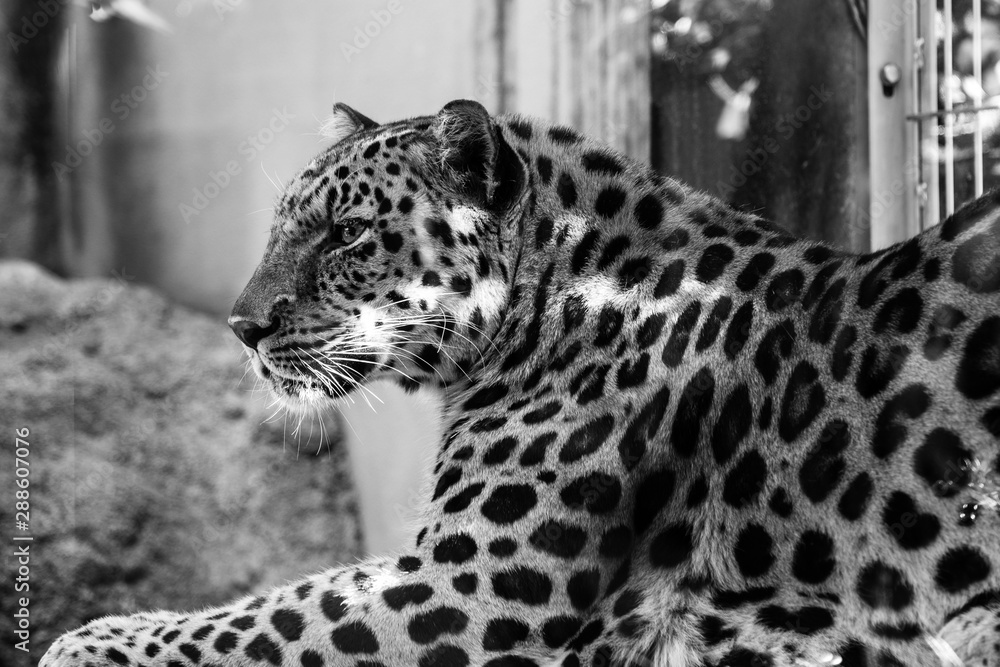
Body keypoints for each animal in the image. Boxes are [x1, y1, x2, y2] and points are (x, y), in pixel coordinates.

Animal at [42, 99, 1000, 667]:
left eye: (348, 233)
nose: (242, 327)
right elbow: (280, 596)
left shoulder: (473, 581)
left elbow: (272, 614)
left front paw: (89, 638)